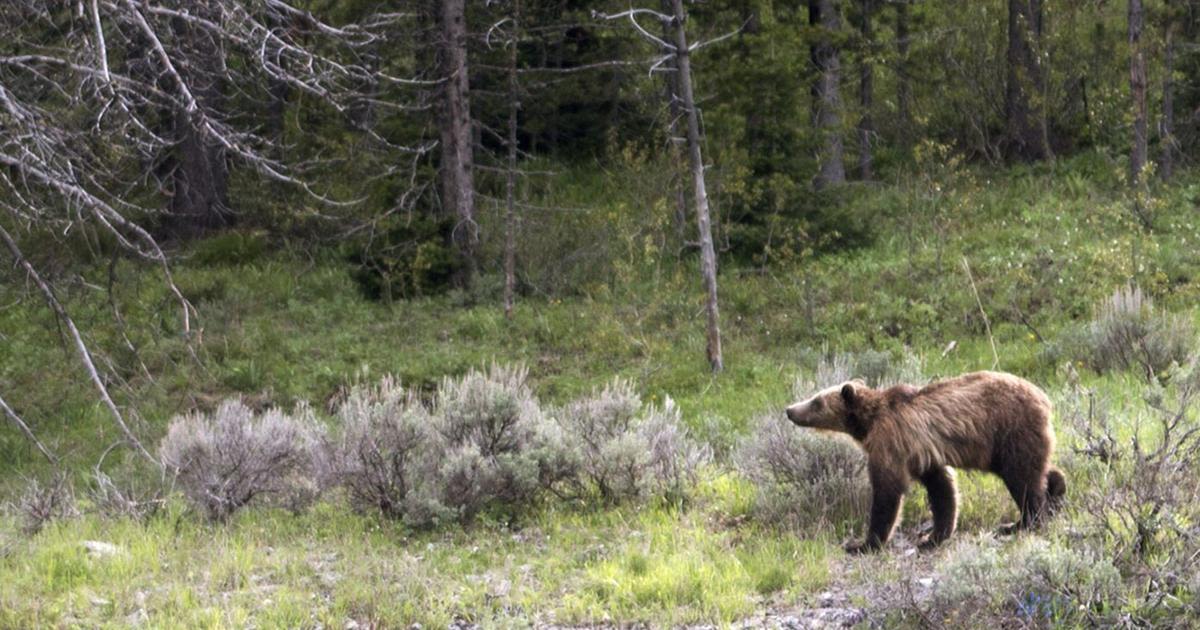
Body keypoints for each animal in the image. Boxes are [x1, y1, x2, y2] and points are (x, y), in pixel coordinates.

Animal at [787, 372, 1070, 552]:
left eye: (816, 401)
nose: (790, 410)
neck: (868, 423)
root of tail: (1045, 398)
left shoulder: (891, 442)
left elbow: (887, 491)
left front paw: (863, 543)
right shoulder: (923, 455)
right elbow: (942, 490)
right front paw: (933, 536)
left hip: (1010, 430)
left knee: (1022, 478)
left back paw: (1020, 523)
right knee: (1039, 468)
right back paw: (1056, 490)